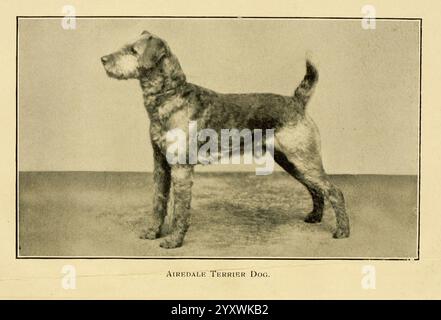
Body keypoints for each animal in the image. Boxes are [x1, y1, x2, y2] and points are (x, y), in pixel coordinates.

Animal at [100, 30, 350, 250]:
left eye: (132, 50)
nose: (103, 59)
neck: (170, 96)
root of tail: (297, 101)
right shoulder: (160, 164)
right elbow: (158, 202)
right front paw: (152, 232)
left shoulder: (181, 167)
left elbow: (179, 210)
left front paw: (173, 241)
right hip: (291, 162)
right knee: (316, 189)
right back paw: (315, 217)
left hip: (303, 159)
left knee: (334, 191)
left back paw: (342, 231)